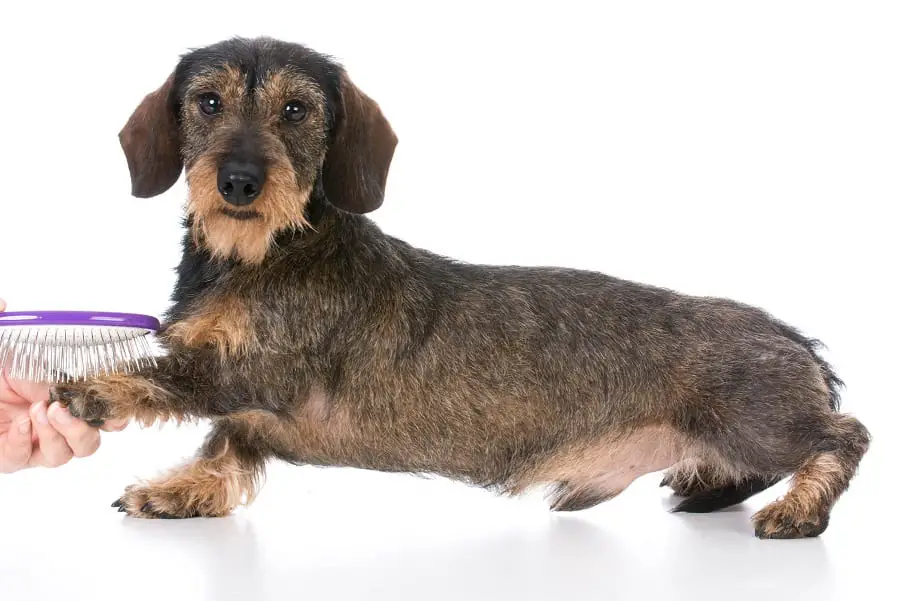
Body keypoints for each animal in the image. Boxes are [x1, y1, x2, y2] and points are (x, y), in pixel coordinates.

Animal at [51, 35, 872, 536]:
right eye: (208, 101)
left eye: (296, 109)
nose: (241, 181)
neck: (261, 255)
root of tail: (794, 338)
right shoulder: (249, 404)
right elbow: (226, 443)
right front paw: (182, 490)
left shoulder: (261, 370)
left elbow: (174, 377)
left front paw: (94, 389)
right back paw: (708, 485)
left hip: (753, 418)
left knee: (845, 434)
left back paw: (800, 509)